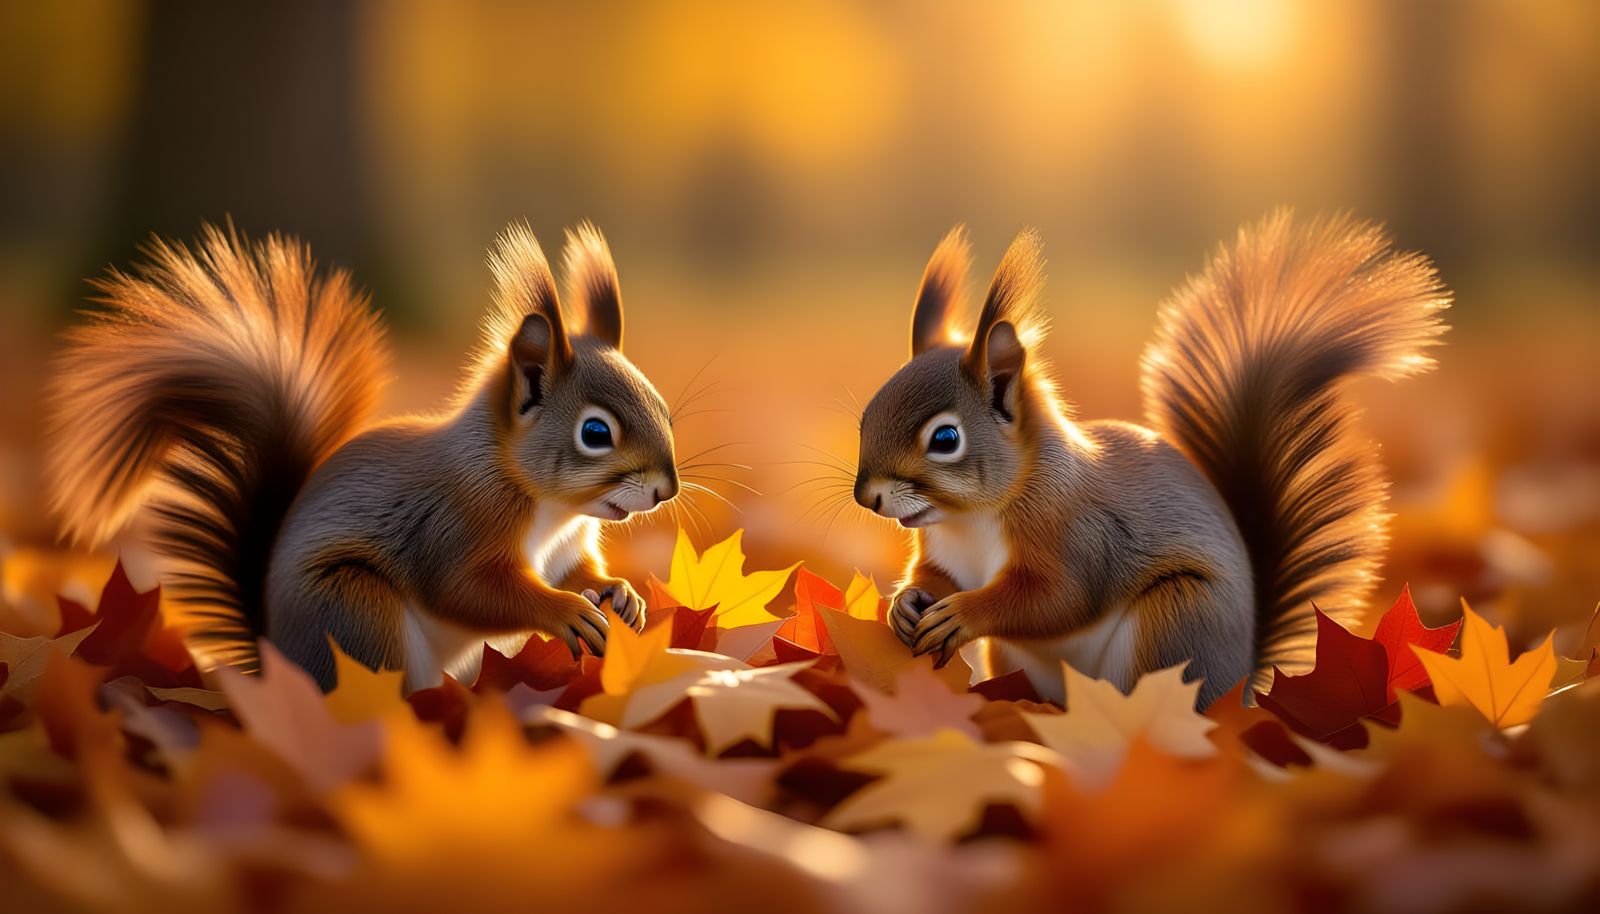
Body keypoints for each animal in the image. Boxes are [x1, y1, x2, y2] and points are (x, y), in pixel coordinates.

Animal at [47, 221, 680, 692]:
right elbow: (469, 590)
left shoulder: (567, 545)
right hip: (355, 613)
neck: (549, 508)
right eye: (594, 432)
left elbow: (576, 572)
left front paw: (619, 594)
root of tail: (277, 665)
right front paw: (565, 611)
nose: (665, 490)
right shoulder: (454, 524)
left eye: (665, 409)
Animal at [854, 210, 1449, 707]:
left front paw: (963, 613)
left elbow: (1057, 598)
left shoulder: (1081, 535)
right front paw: (905, 604)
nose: (866, 496)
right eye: (866, 414)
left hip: (1176, 624)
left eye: (945, 438)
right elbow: (934, 576)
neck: (972, 519)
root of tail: (1243, 688)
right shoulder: (946, 553)